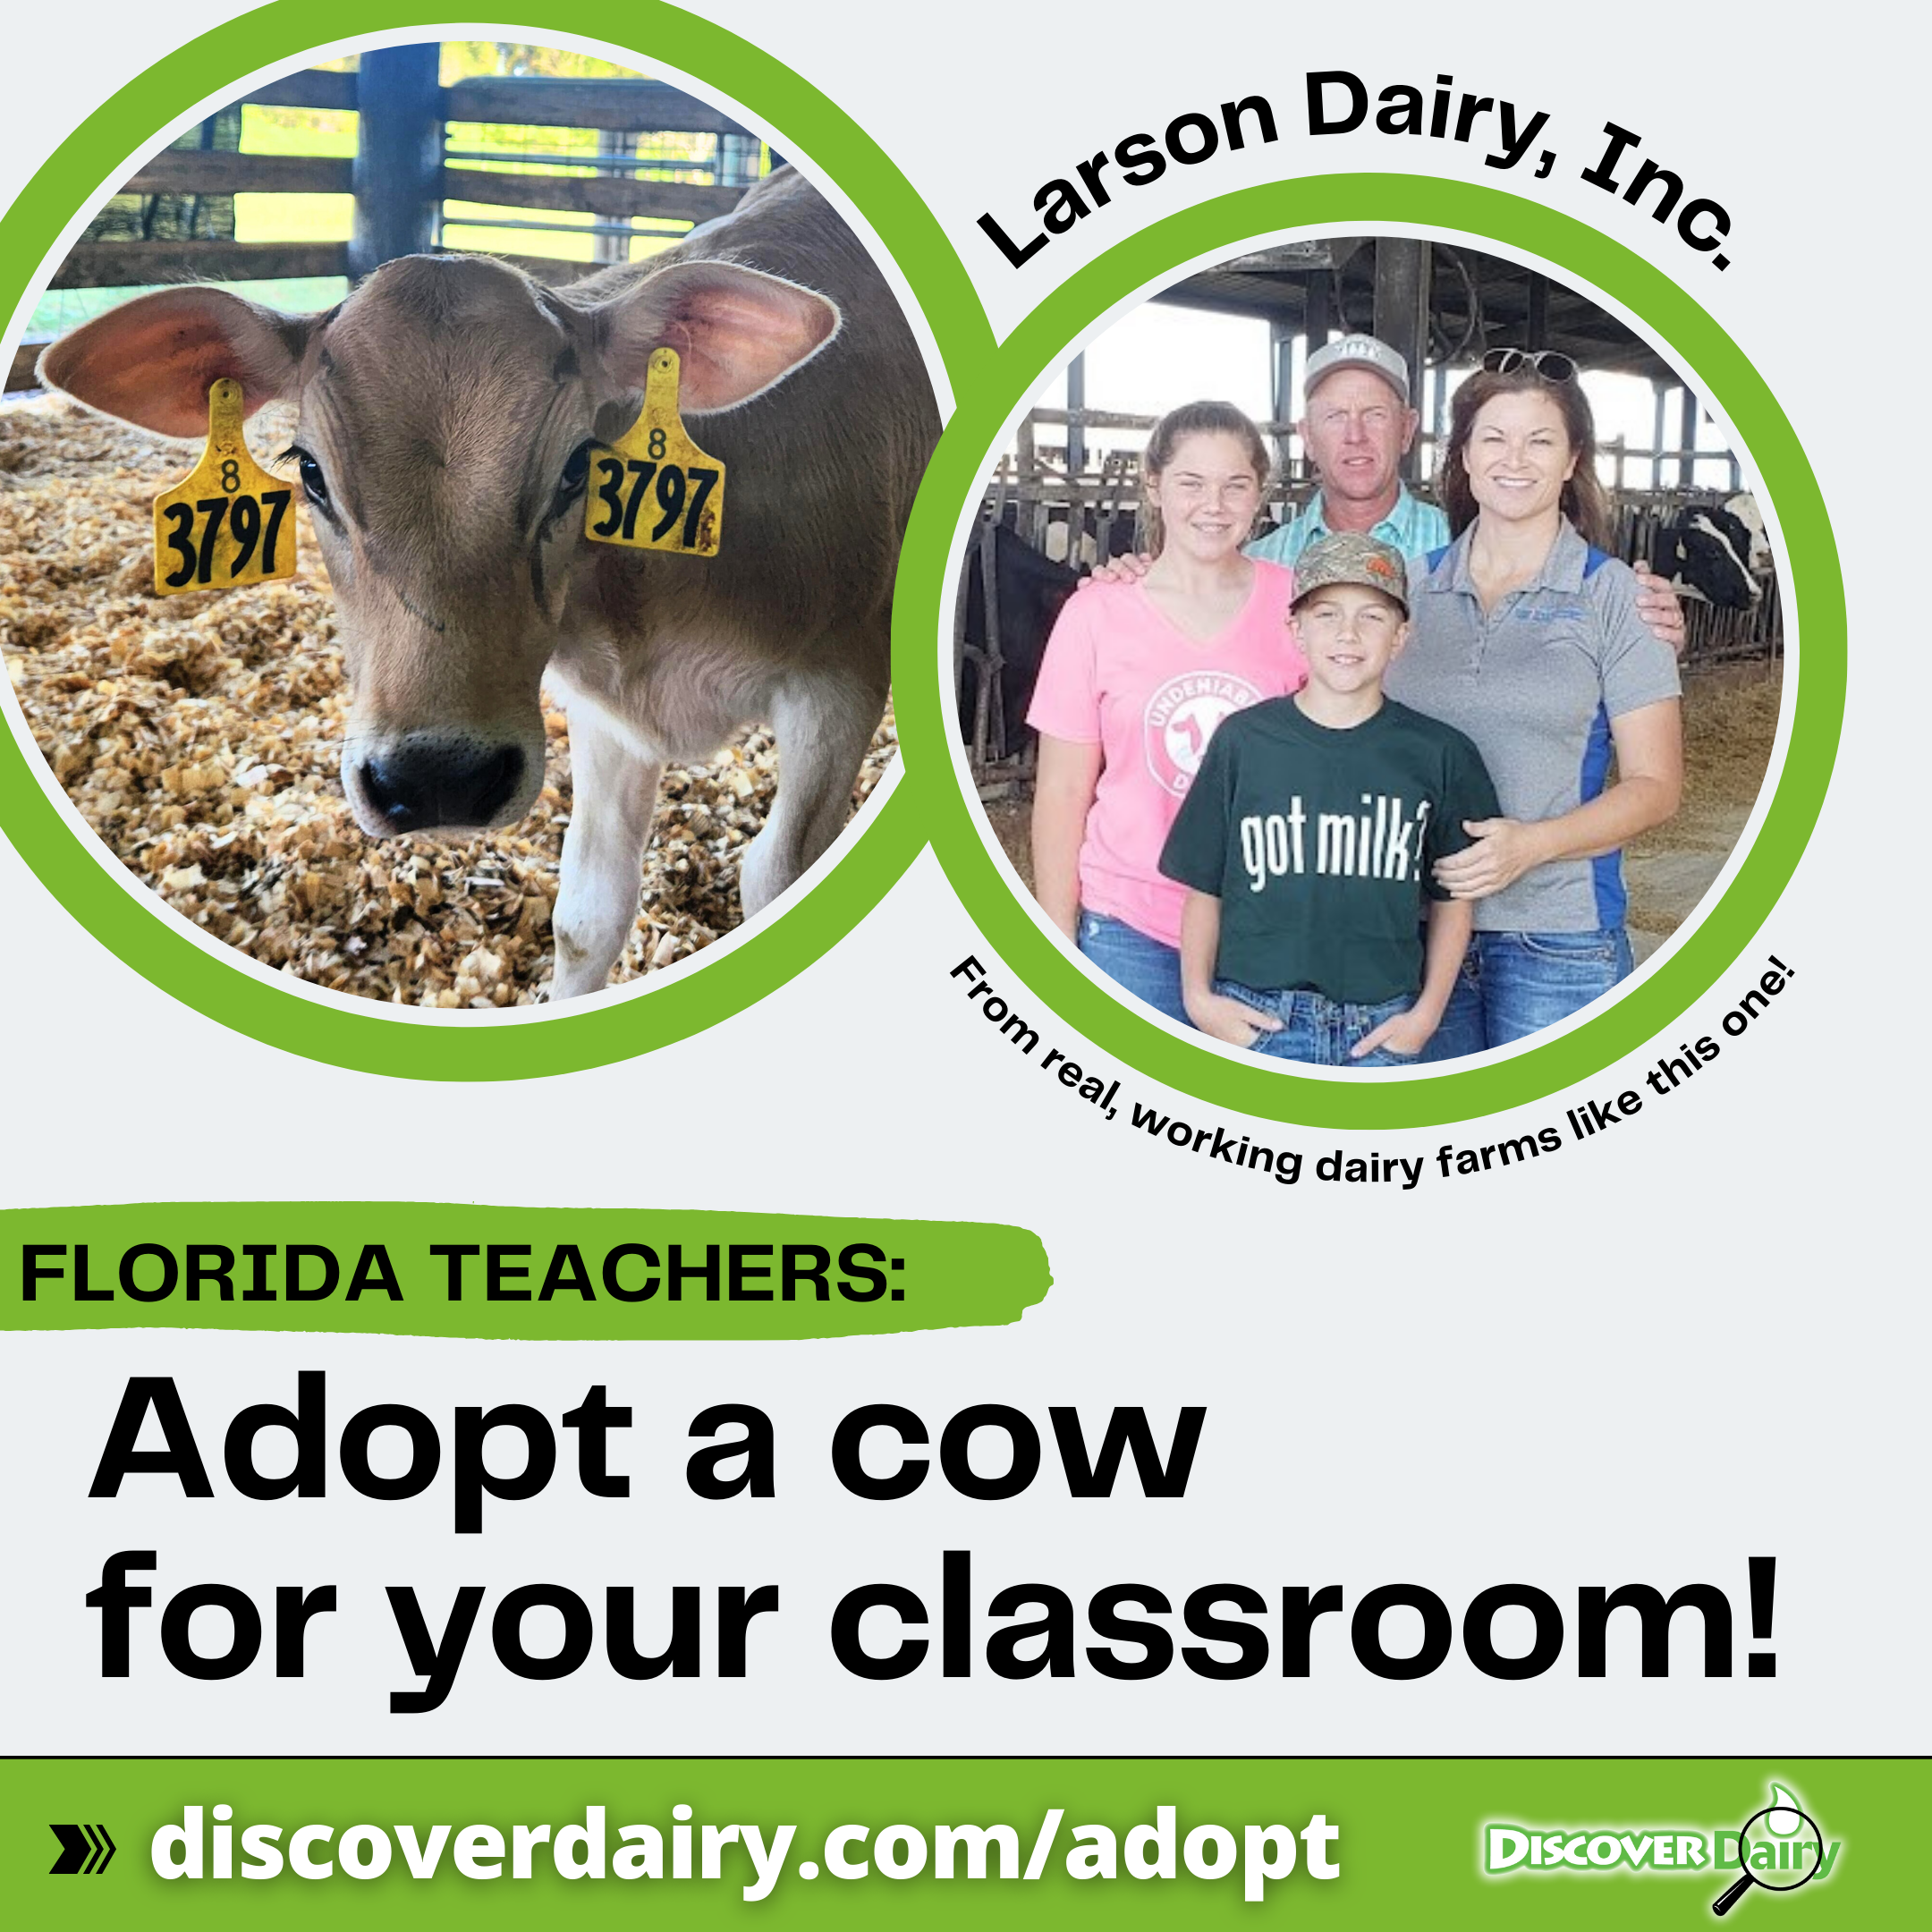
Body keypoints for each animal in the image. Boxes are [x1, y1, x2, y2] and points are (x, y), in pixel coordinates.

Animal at [40, 166, 938, 999]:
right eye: (309, 472)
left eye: (578, 465)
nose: (439, 778)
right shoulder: (606, 713)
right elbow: (588, 914)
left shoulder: (842, 680)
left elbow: (775, 873)